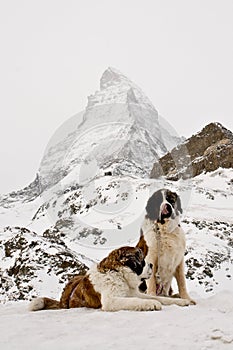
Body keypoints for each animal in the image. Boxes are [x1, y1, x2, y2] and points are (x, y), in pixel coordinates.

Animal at [29, 245, 191, 314]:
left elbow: (161, 298)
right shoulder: (111, 300)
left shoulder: (134, 293)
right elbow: (137, 301)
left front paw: (182, 301)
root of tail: (63, 301)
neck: (120, 275)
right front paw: (151, 304)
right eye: (141, 259)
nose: (151, 264)